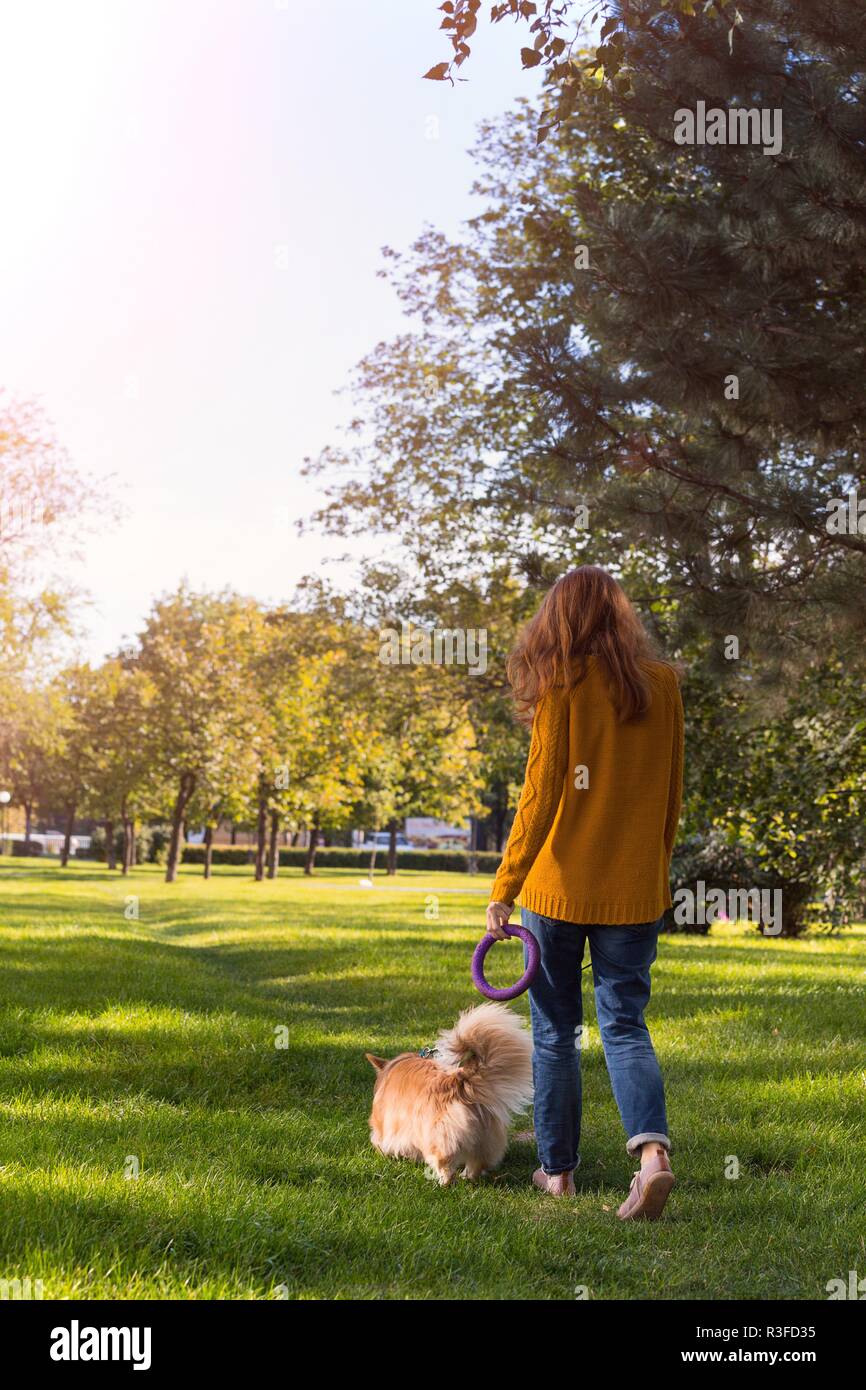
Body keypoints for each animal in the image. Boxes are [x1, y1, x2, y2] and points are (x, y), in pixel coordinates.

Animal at [366, 1000, 536, 1184]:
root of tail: (459, 1080)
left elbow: (380, 1141)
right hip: (485, 1139)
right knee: (476, 1164)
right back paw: (466, 1177)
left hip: (439, 1139)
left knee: (445, 1165)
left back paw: (442, 1182)